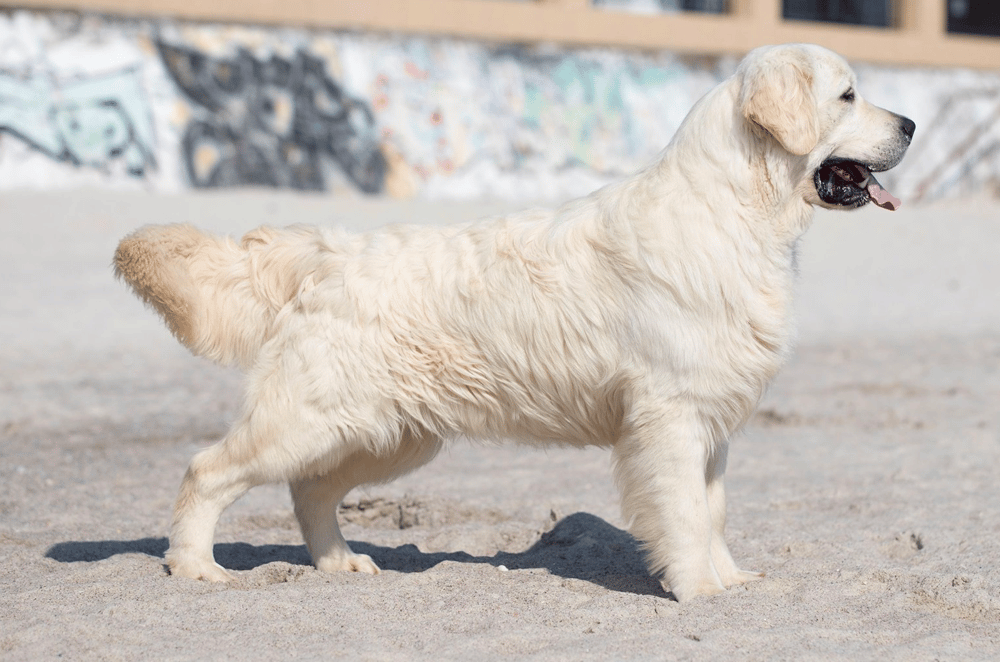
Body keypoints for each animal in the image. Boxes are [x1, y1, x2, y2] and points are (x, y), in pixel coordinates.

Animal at [115, 41, 916, 600]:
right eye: (849, 94)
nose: (910, 123)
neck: (735, 211)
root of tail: (329, 250)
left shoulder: (711, 424)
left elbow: (712, 513)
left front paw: (731, 582)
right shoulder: (671, 416)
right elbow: (686, 515)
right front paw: (696, 591)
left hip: (388, 434)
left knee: (309, 490)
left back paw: (341, 562)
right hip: (308, 420)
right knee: (207, 469)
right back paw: (194, 566)